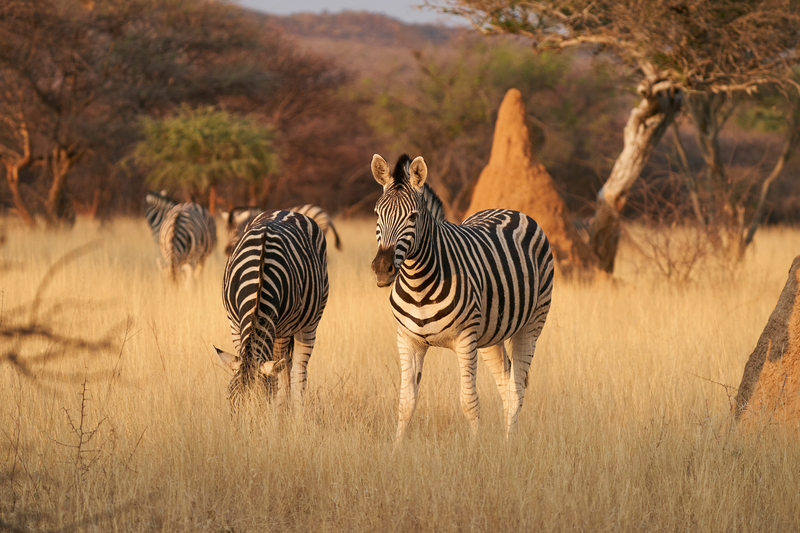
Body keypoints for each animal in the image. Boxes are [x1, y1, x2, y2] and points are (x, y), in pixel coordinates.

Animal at [211, 210, 330, 410]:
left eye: (259, 405)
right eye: (231, 402)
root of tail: (288, 211)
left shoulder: (282, 330)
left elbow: (277, 379)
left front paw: (277, 411)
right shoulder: (235, 325)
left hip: (310, 324)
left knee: (297, 371)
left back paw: (296, 410)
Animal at [370, 152, 552, 442]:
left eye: (413, 216)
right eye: (377, 213)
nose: (381, 268)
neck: (418, 282)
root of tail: (510, 210)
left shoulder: (466, 339)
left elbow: (469, 402)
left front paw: (476, 449)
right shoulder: (407, 340)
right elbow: (406, 403)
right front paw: (396, 449)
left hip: (532, 323)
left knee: (517, 388)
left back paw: (510, 444)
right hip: (490, 335)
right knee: (505, 382)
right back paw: (505, 443)